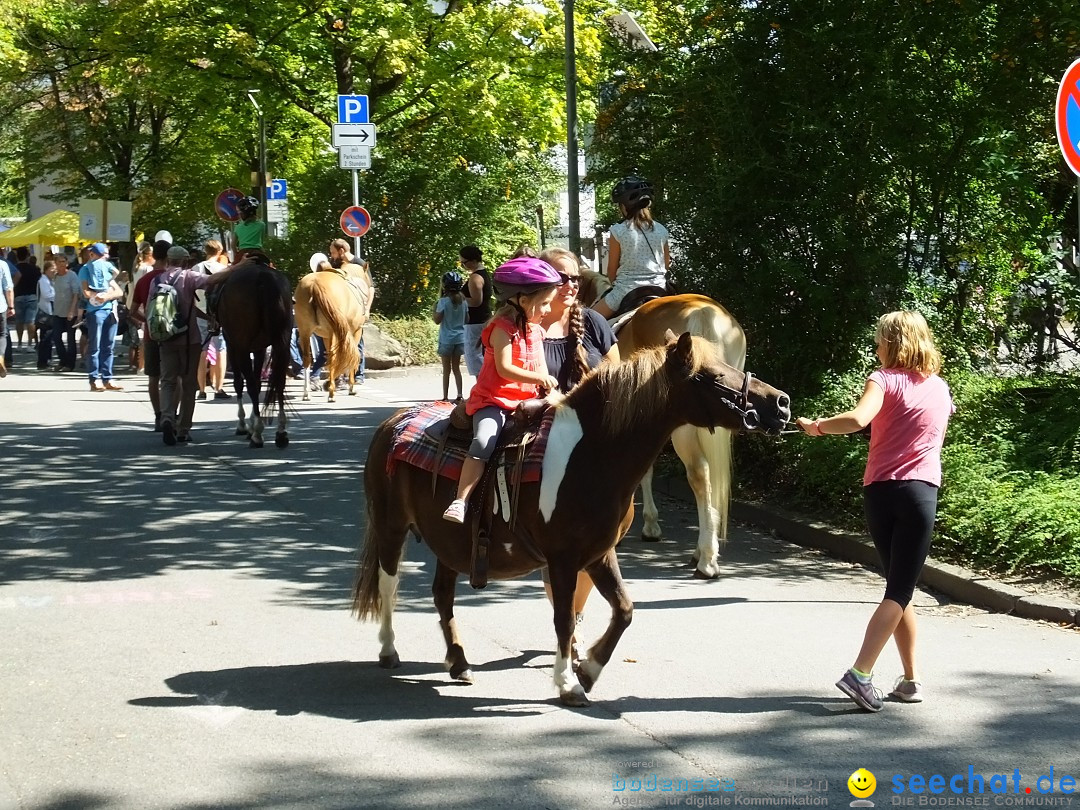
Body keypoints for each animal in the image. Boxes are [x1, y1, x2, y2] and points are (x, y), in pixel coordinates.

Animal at [212, 254, 291, 451]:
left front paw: (244, 425)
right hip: (281, 344)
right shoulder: (260, 348)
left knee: (251, 386)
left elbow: (240, 383)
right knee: (279, 382)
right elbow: (258, 380)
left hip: (240, 347)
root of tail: (263, 277)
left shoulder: (233, 346)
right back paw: (281, 432)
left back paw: (257, 434)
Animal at [293, 264, 373, 403]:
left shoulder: (326, 336)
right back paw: (331, 393)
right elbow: (352, 356)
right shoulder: (354, 333)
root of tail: (314, 284)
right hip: (335, 332)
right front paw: (350, 387)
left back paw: (307, 393)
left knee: (308, 359)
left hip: (305, 331)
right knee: (334, 357)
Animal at [349, 332, 790, 708]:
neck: (592, 454)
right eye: (713, 376)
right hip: (391, 528)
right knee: (388, 586)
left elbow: (624, 610)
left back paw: (458, 663)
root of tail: (392, 423)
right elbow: (563, 618)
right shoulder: (562, 559)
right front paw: (568, 682)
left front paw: (589, 669)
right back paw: (388, 650)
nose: (782, 403)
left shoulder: (599, 554)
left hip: (450, 543)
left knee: (442, 595)